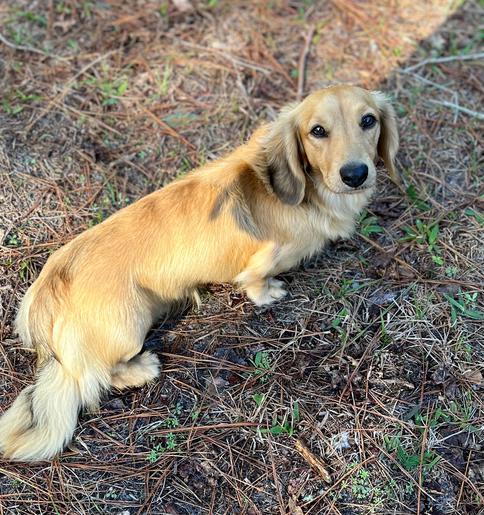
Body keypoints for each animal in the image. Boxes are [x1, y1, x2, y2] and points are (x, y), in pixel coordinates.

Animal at [0, 86, 398, 462]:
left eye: (368, 120)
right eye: (317, 131)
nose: (355, 174)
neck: (307, 193)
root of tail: (46, 299)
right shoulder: (262, 259)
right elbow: (256, 282)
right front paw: (269, 293)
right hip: (129, 324)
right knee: (97, 377)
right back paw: (144, 367)